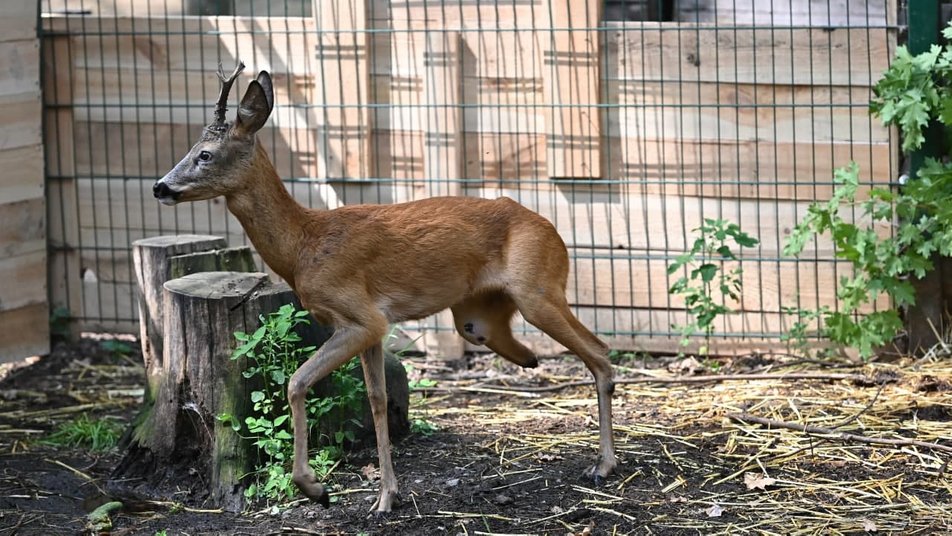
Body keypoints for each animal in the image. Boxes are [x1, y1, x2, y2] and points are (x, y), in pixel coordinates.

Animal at [152, 62, 616, 516]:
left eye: (205, 154)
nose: (160, 187)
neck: (303, 246)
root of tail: (554, 232)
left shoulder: (360, 317)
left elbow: (297, 382)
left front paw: (316, 489)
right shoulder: (374, 326)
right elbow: (377, 399)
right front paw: (385, 497)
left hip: (538, 289)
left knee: (600, 351)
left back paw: (604, 465)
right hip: (476, 317)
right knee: (534, 345)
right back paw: (538, 369)